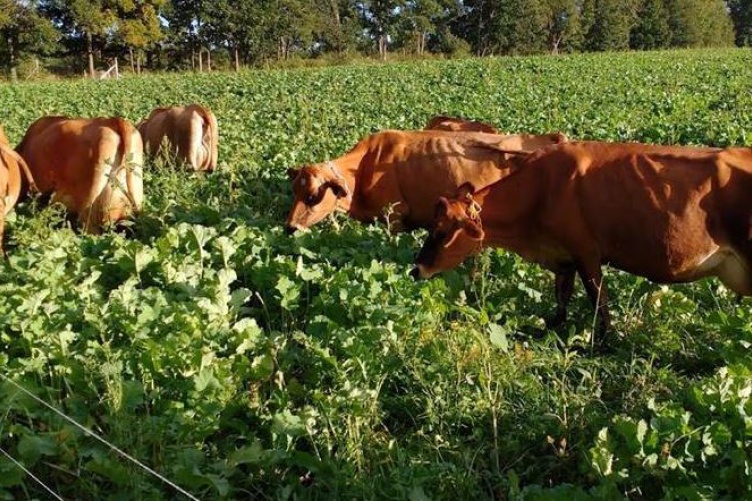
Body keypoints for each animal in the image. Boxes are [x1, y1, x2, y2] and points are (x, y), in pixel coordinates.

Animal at [412, 140, 752, 344]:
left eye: (441, 232)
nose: (416, 270)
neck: (541, 190)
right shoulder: (564, 258)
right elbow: (561, 299)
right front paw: (549, 327)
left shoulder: (586, 252)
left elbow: (598, 300)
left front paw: (603, 341)